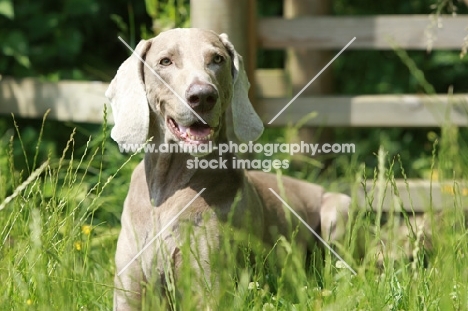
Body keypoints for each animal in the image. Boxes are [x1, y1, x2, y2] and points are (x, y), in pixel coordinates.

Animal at [105, 28, 348, 310]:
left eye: (217, 59)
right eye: (165, 61)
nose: (203, 96)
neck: (171, 185)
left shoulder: (210, 290)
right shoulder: (128, 292)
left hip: (338, 210)